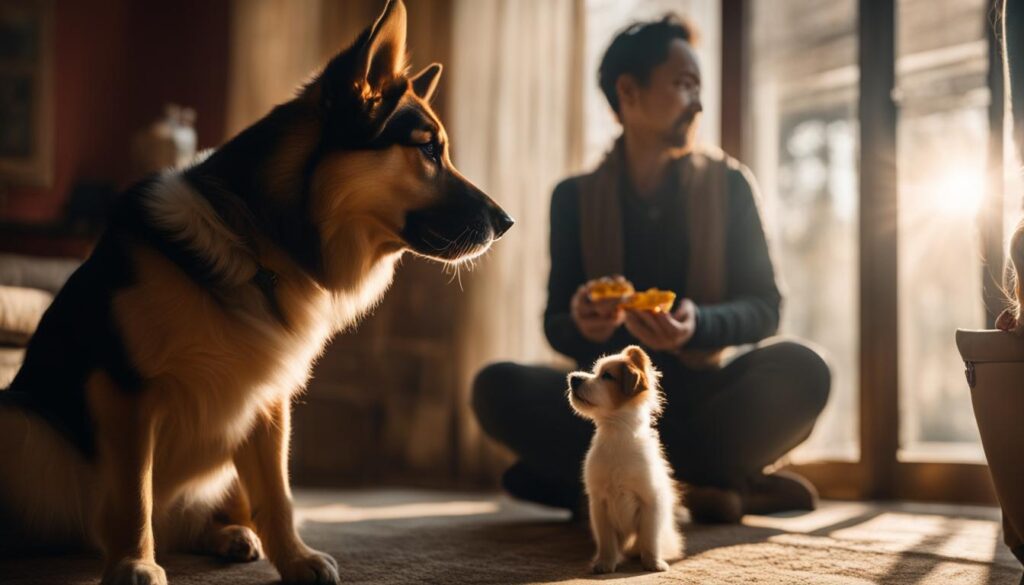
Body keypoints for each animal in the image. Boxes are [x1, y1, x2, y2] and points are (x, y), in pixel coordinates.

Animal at [0, 2, 512, 581]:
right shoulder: (127, 391)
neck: (259, 245)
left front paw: (294, 559)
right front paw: (135, 563)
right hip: (17, 425)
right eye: (427, 150)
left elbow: (278, 496)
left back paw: (227, 536)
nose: (508, 223)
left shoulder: (266, 403)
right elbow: (134, 496)